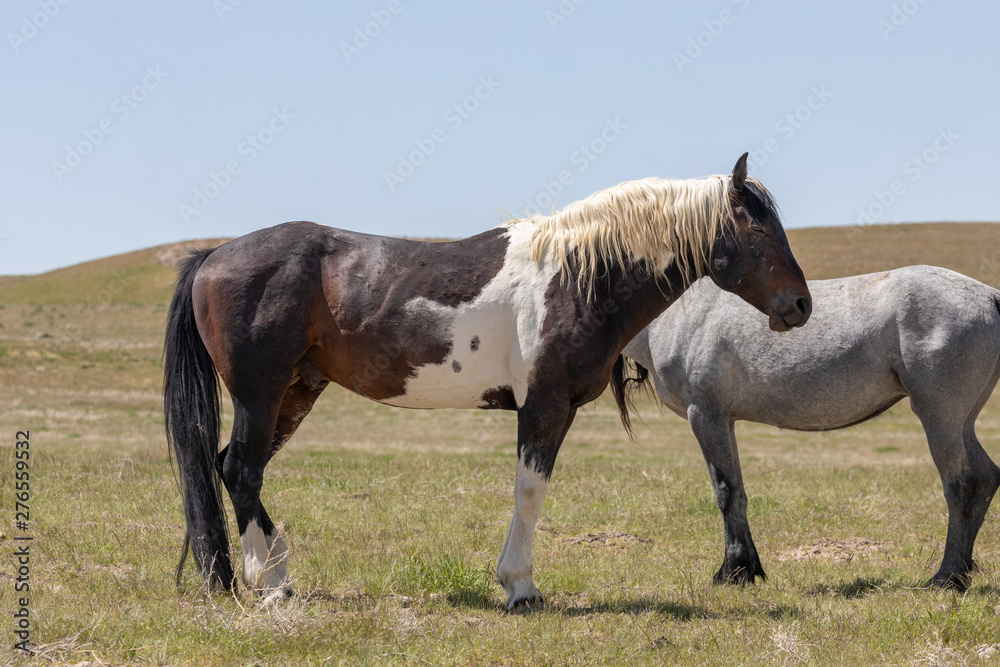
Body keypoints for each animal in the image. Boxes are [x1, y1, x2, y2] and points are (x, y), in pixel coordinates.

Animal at [163, 153, 812, 610]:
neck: (578, 276)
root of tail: (214, 256)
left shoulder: (557, 408)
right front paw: (521, 587)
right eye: (758, 233)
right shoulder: (544, 405)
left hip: (294, 393)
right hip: (260, 394)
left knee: (231, 470)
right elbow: (530, 491)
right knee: (241, 471)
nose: (801, 305)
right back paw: (272, 583)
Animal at [613, 265, 1000, 591]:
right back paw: (961, 571)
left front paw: (732, 573)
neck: (677, 314)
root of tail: (990, 296)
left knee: (961, 485)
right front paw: (750, 570)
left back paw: (947, 577)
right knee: (985, 478)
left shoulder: (705, 415)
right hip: (962, 423)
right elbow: (739, 493)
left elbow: (725, 493)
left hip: (940, 419)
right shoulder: (726, 421)